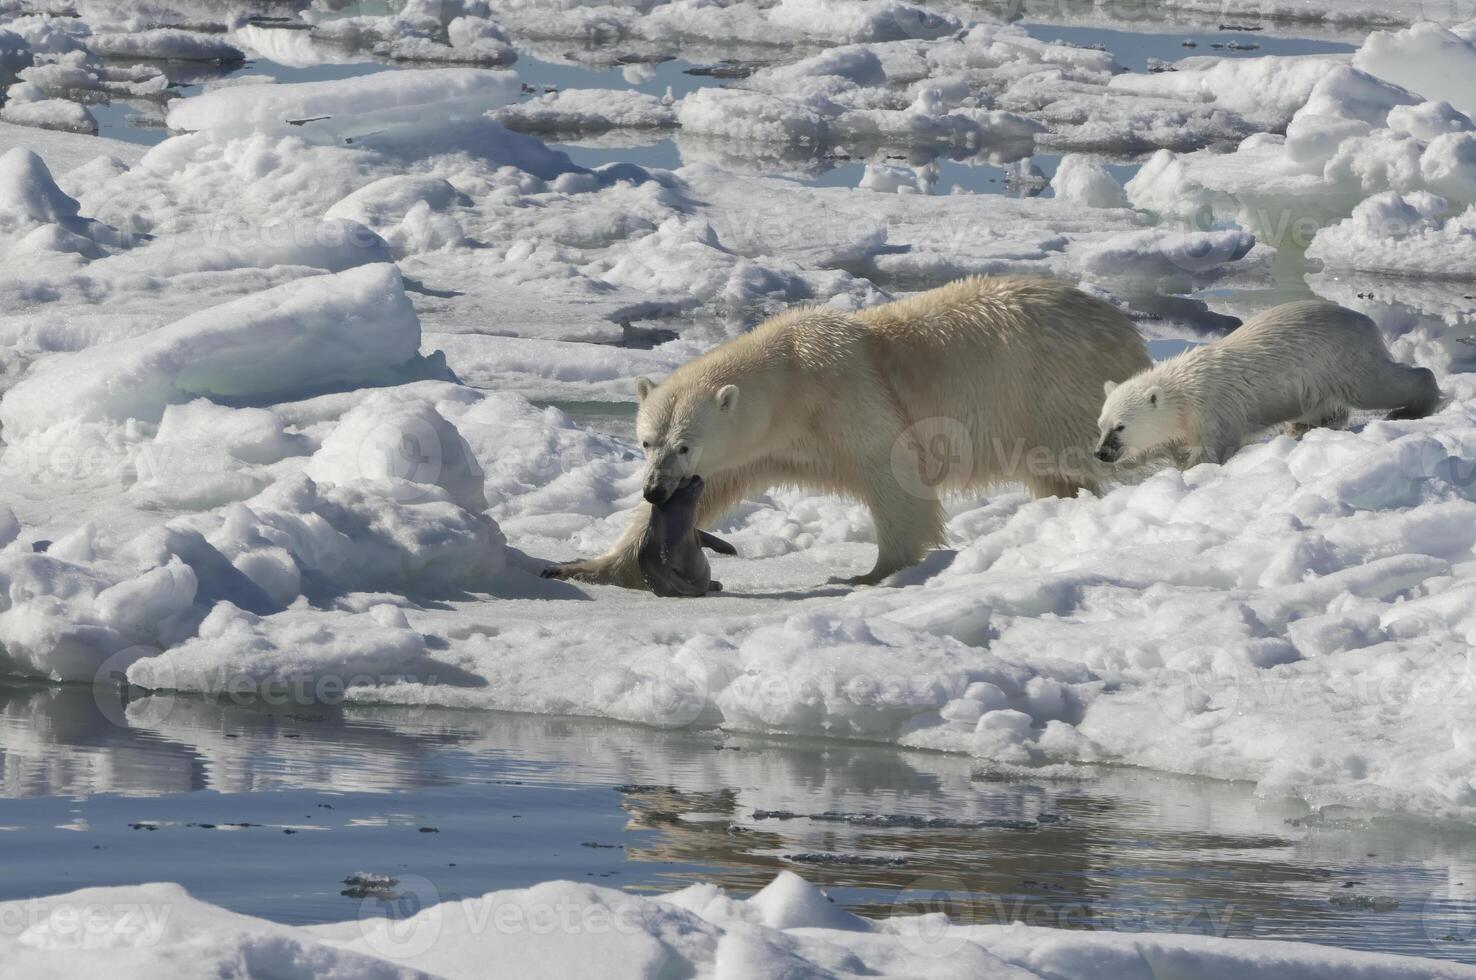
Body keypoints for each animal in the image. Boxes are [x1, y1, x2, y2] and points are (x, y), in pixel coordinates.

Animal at [546, 271, 1151, 584]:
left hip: (1056, 393)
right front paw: (585, 565)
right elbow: (716, 485)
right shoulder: (755, 445)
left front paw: (870, 573)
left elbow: (894, 473)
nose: (655, 489)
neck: (790, 378)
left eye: (684, 444)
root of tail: (1125, 329)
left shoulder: (848, 395)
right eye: (647, 442)